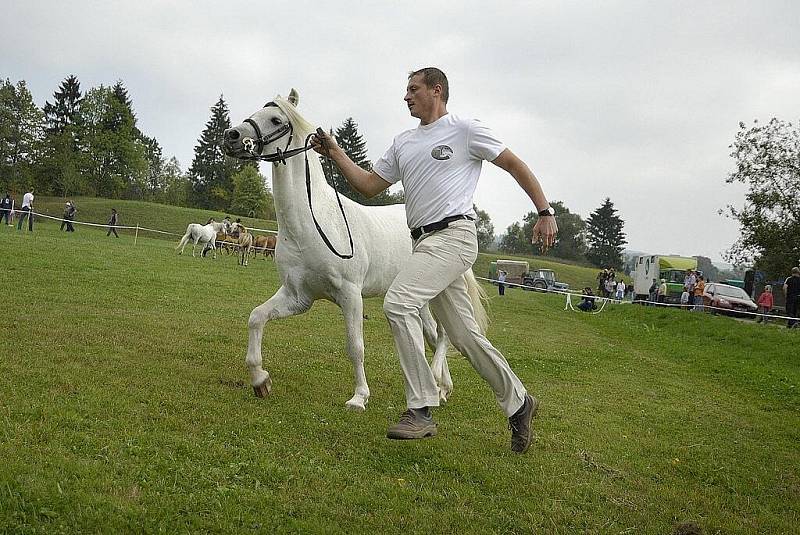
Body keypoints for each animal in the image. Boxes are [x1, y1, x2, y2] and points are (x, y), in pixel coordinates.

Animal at [223, 90, 488, 412]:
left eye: (275, 119)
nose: (231, 136)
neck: (313, 223)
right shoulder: (298, 296)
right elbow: (256, 317)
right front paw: (261, 380)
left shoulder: (350, 295)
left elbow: (355, 347)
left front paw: (359, 397)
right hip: (420, 300)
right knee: (434, 336)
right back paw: (441, 389)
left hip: (438, 293)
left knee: (444, 337)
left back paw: (436, 381)